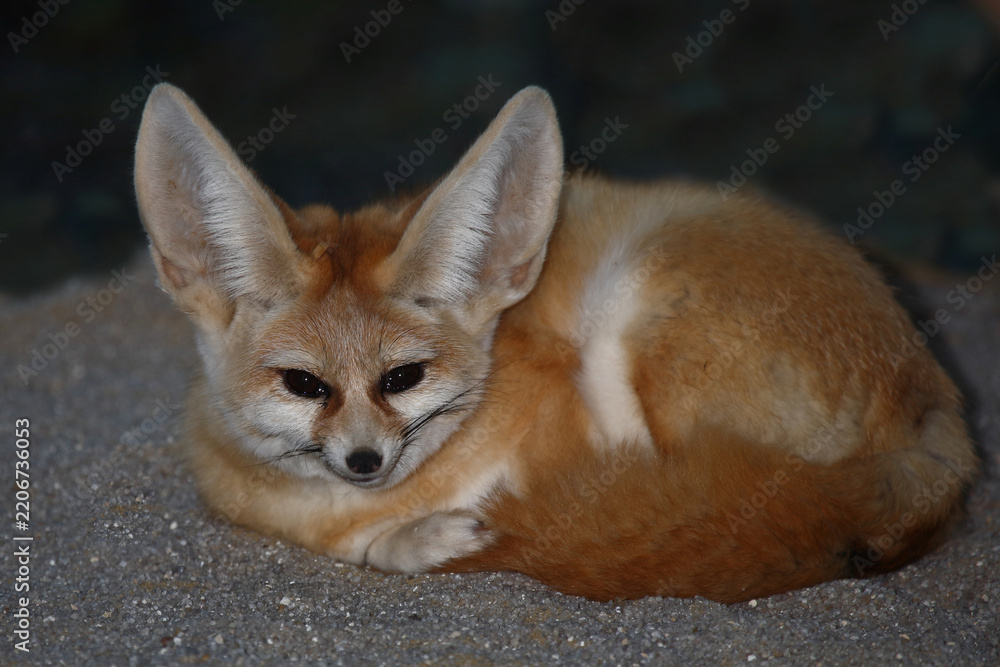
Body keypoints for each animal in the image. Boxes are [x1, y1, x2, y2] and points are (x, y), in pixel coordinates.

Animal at [133, 82, 976, 603]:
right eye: (305, 385)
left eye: (403, 377)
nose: (365, 461)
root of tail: (940, 413)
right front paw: (412, 537)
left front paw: (430, 534)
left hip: (633, 327)